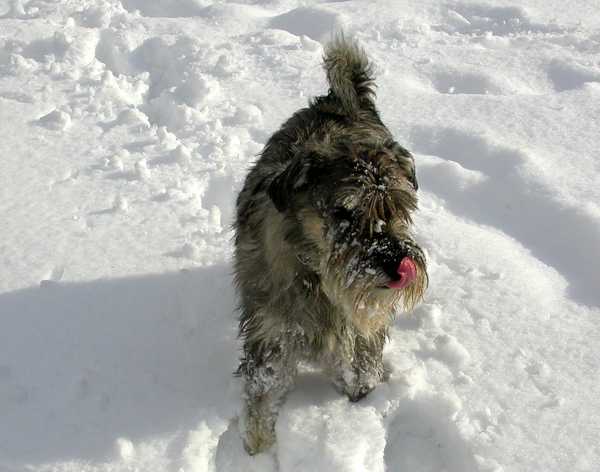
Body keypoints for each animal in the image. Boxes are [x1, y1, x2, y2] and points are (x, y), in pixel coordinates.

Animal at [233, 35, 426, 456]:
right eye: (344, 212)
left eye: (399, 207)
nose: (397, 264)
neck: (315, 272)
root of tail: (338, 99)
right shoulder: (271, 334)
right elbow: (262, 395)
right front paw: (258, 448)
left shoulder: (360, 332)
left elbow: (362, 370)